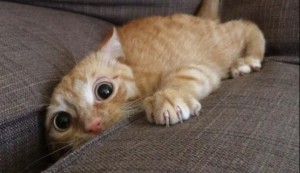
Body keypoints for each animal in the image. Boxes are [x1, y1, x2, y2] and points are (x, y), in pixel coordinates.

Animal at [44, 0, 264, 158]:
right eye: (62, 121)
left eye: (104, 91)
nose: (93, 124)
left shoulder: (199, 68)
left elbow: (184, 76)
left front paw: (167, 99)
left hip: (222, 42)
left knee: (247, 26)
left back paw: (248, 59)